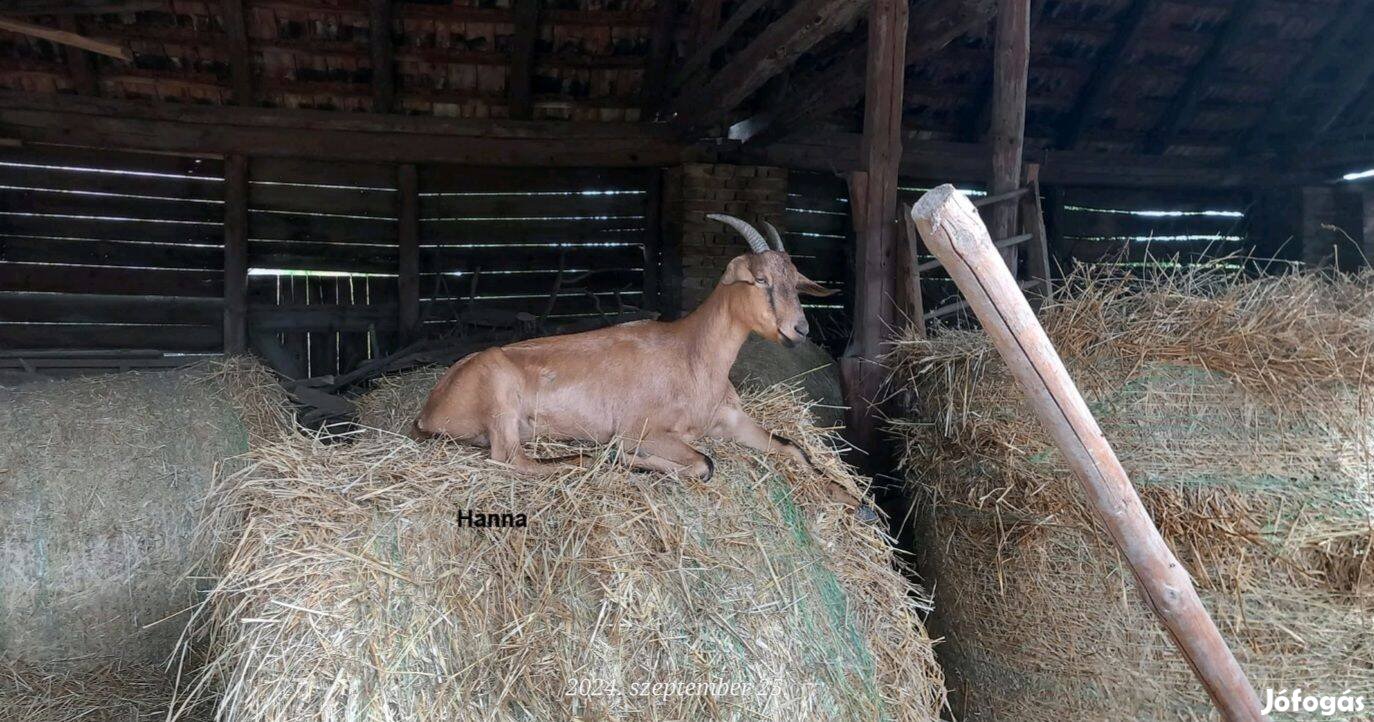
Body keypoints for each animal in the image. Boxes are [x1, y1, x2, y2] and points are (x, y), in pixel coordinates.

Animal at [406, 215, 862, 511]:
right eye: (760, 280)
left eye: (795, 280)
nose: (799, 329)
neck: (691, 354)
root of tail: (430, 407)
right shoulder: (645, 429)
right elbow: (704, 463)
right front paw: (630, 457)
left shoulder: (730, 421)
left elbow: (792, 448)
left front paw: (856, 502)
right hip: (501, 400)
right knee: (513, 461)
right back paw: (614, 461)